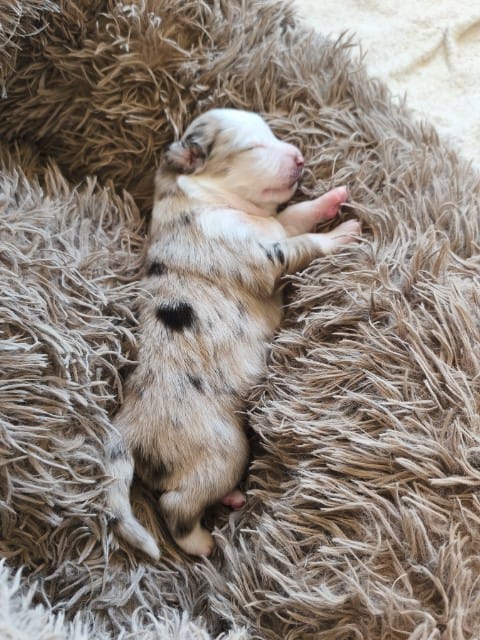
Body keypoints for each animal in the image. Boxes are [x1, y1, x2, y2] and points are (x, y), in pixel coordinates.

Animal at [105, 108, 361, 559]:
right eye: (253, 148)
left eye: (272, 134)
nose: (299, 157)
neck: (205, 197)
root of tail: (126, 428)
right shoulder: (266, 256)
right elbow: (304, 241)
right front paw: (341, 233)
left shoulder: (273, 225)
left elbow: (295, 215)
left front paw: (331, 198)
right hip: (222, 448)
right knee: (176, 503)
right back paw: (203, 543)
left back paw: (232, 499)